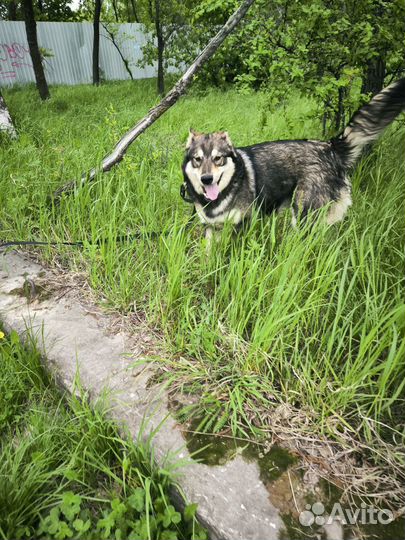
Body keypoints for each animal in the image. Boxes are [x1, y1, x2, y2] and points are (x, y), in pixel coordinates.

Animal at [183, 77, 404, 243]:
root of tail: (330, 147)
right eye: (197, 159)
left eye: (218, 158)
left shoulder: (243, 226)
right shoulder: (212, 229)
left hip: (304, 217)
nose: (206, 179)